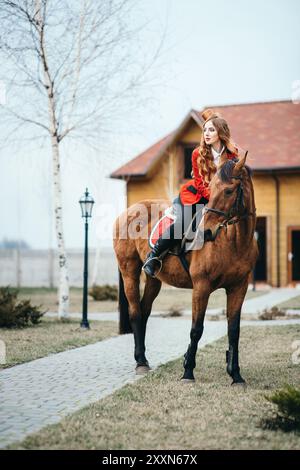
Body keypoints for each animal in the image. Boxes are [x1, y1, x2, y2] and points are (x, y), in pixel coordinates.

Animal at [112, 152, 258, 384]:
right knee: (135, 313)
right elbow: (196, 329)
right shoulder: (201, 287)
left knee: (144, 311)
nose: (207, 232)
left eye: (228, 190)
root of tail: (129, 211)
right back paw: (141, 362)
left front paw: (235, 375)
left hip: (154, 279)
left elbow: (234, 330)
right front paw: (188, 371)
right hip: (129, 273)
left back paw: (143, 358)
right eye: (212, 189)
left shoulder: (239, 287)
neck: (233, 242)